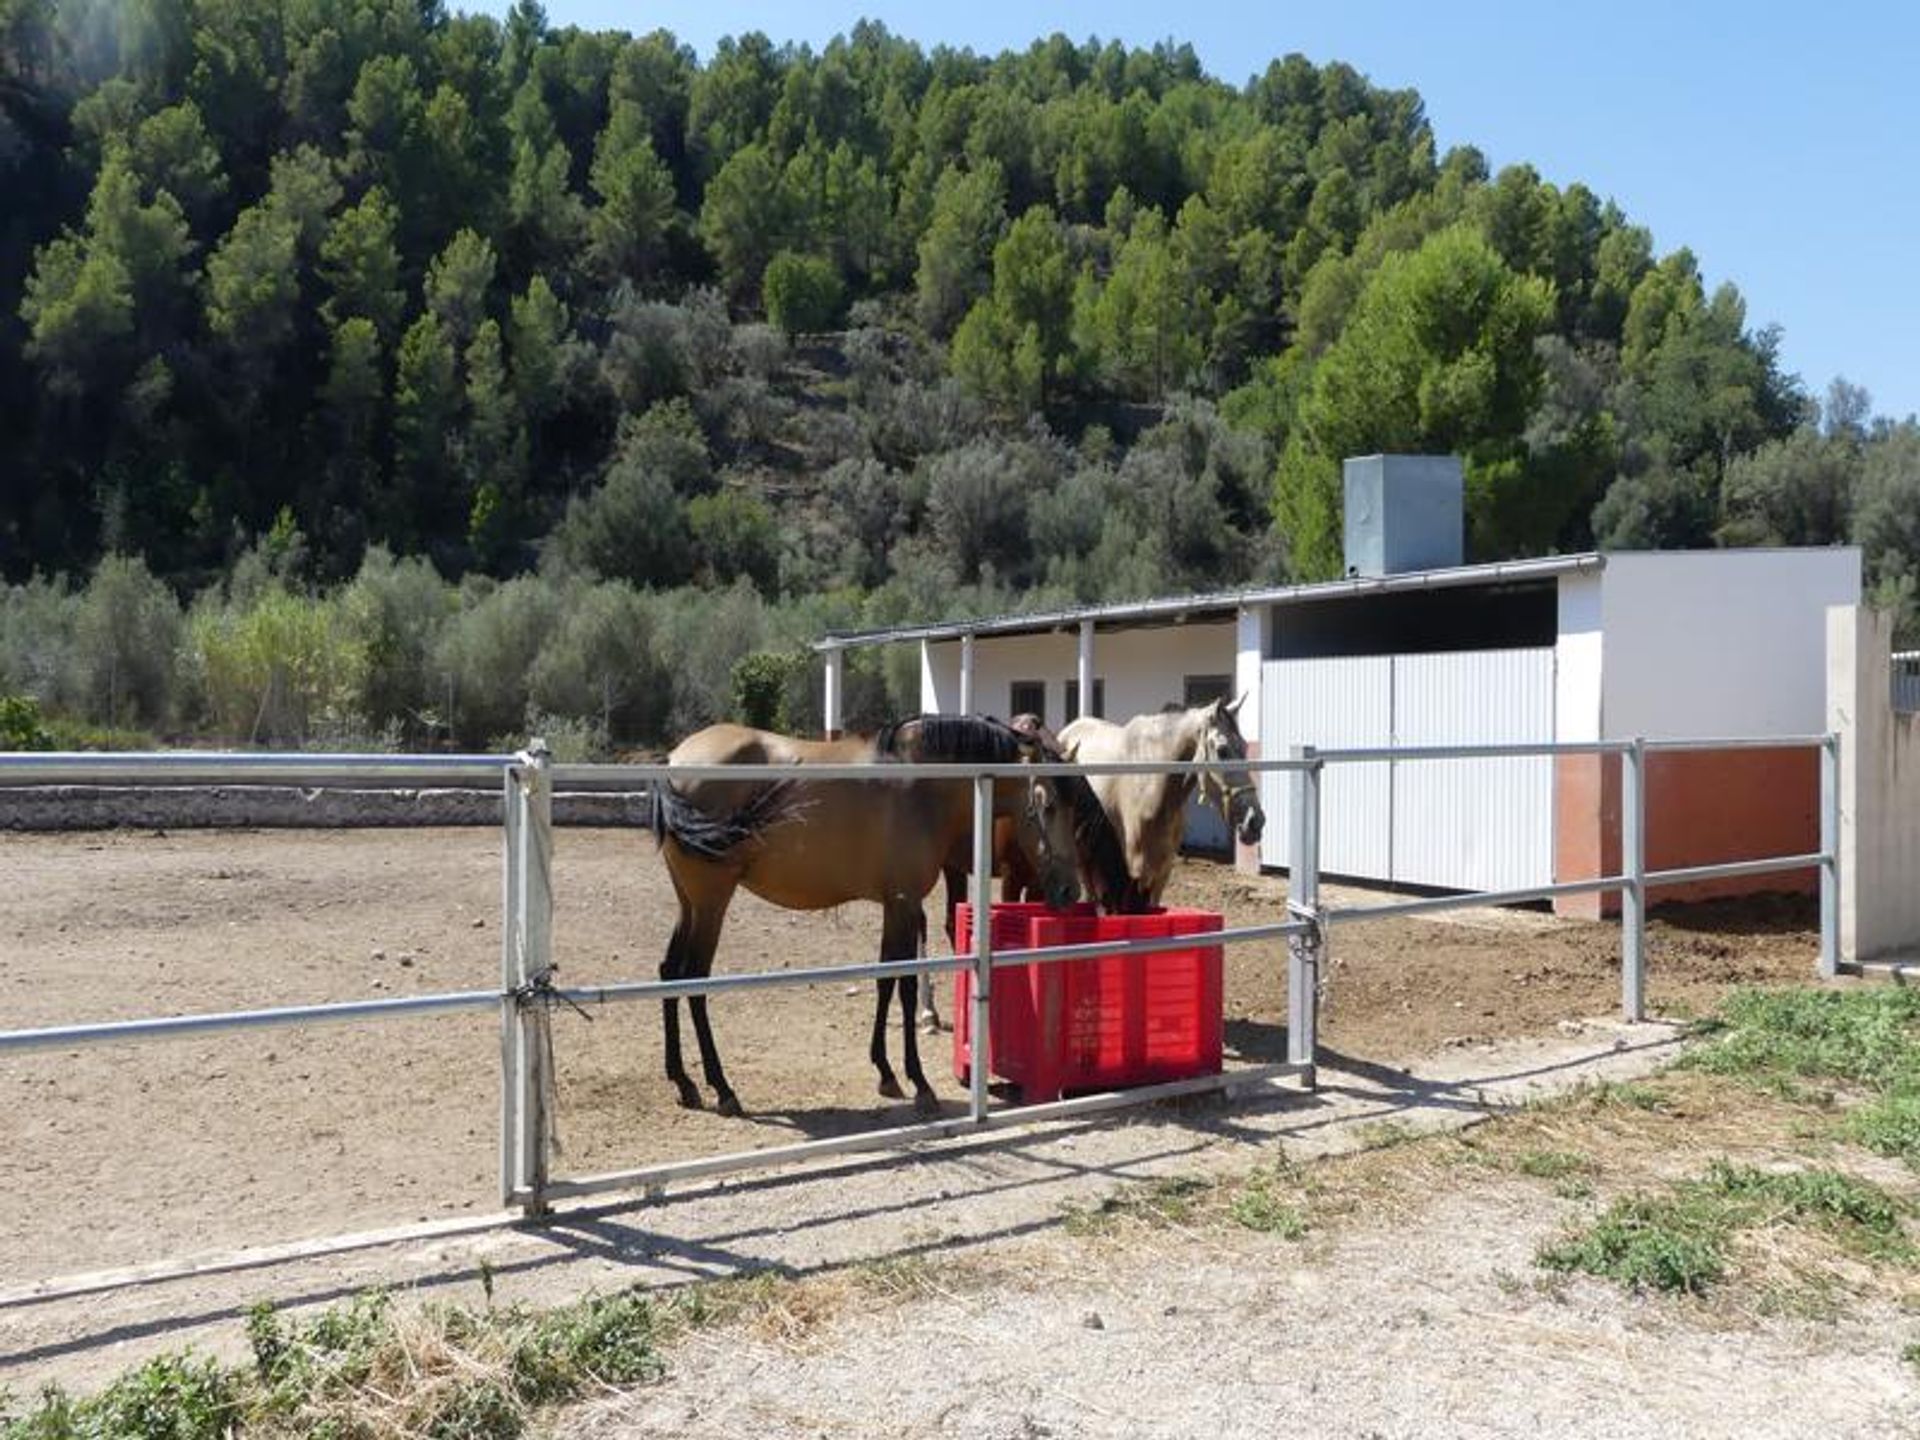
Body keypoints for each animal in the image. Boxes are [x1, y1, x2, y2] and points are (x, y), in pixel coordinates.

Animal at [652, 718, 1128, 1121]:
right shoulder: (904, 903)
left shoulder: (895, 905)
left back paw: (684, 1082)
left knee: (670, 972)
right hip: (712, 901)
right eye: (1046, 805)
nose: (1068, 891)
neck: (922, 785)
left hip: (689, 903)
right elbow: (905, 986)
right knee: (694, 978)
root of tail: (674, 762)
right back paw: (722, 1088)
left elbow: (885, 979)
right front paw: (920, 1084)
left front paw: (886, 1072)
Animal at [1059, 695, 1267, 902]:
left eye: (1245, 747)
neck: (1154, 789)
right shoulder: (1136, 873)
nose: (1255, 820)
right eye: (1222, 750)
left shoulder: (1162, 873)